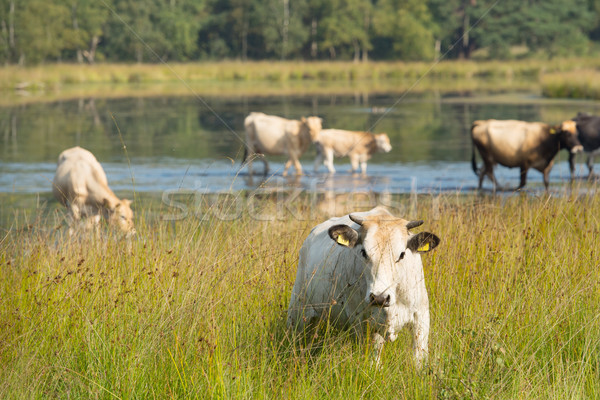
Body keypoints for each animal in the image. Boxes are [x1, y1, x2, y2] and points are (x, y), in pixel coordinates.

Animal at [288, 206, 440, 366]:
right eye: (363, 252)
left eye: (402, 254)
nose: (379, 298)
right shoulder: (362, 322)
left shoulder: (421, 317)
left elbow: (419, 358)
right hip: (297, 312)